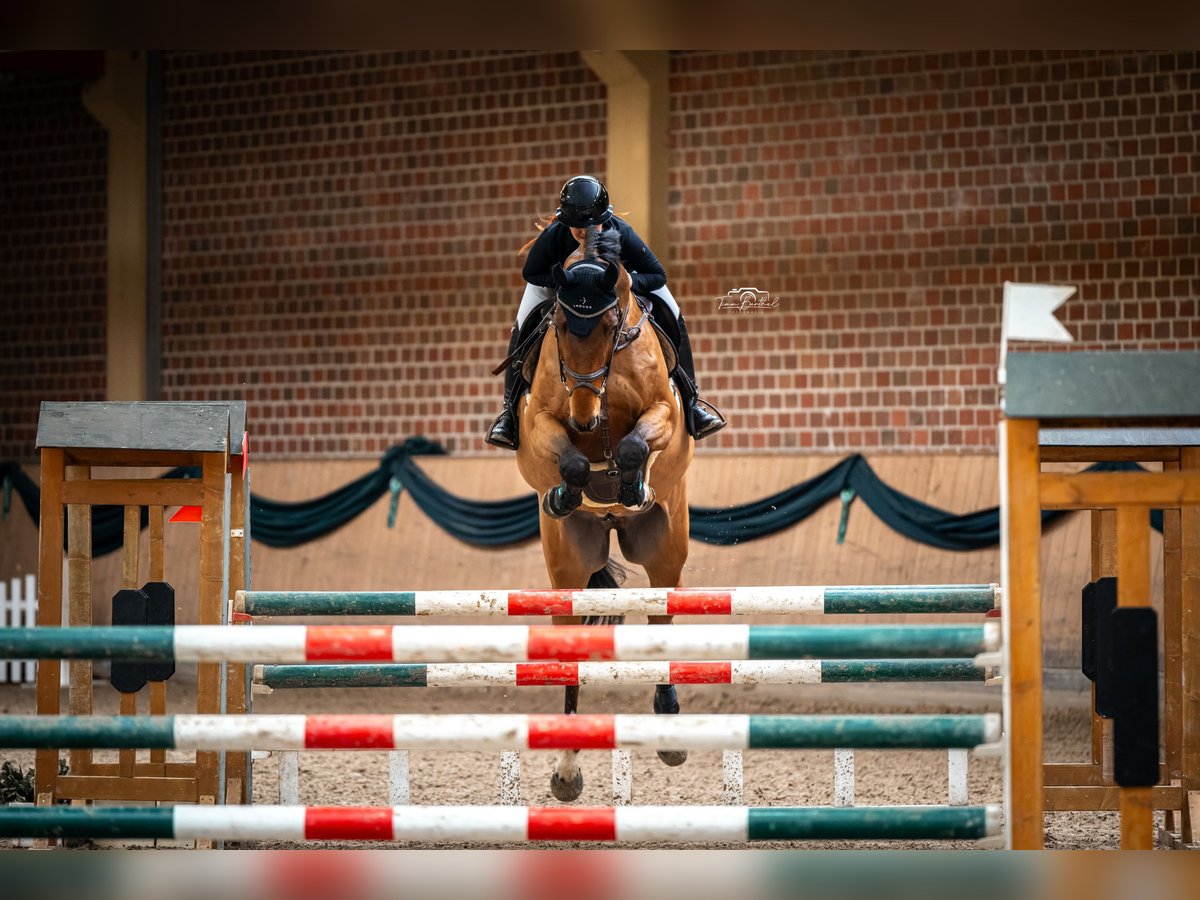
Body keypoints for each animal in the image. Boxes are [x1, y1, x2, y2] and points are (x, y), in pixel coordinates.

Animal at [513, 226, 696, 801]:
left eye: (612, 326)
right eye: (559, 328)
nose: (584, 417)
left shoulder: (663, 412)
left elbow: (637, 443)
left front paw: (629, 482)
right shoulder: (539, 421)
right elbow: (567, 456)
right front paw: (569, 491)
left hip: (665, 550)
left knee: (663, 612)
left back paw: (669, 728)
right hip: (567, 568)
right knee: (569, 652)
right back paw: (567, 768)